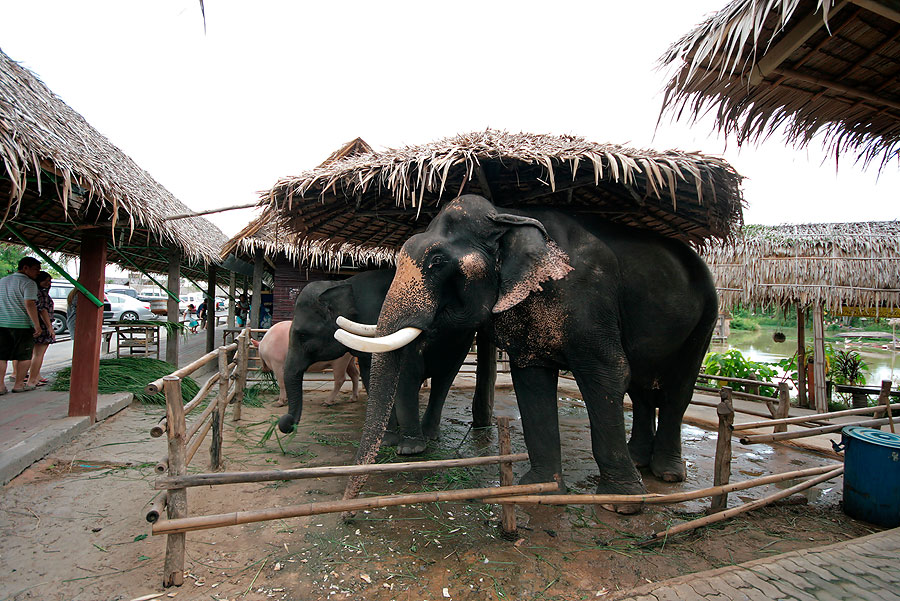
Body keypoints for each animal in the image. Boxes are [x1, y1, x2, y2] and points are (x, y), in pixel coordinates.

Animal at [278, 268, 486, 454]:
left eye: (302, 335)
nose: (284, 421)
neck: (342, 284)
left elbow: (402, 373)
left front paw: (402, 446)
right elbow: (370, 375)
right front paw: (386, 440)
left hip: (463, 338)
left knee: (444, 378)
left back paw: (428, 437)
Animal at [334, 195, 720, 512]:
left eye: (438, 261)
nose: (349, 512)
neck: (508, 214)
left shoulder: (589, 294)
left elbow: (607, 373)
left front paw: (621, 504)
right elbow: (531, 379)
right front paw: (540, 490)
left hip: (708, 312)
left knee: (678, 387)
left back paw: (666, 474)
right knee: (641, 388)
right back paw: (640, 461)